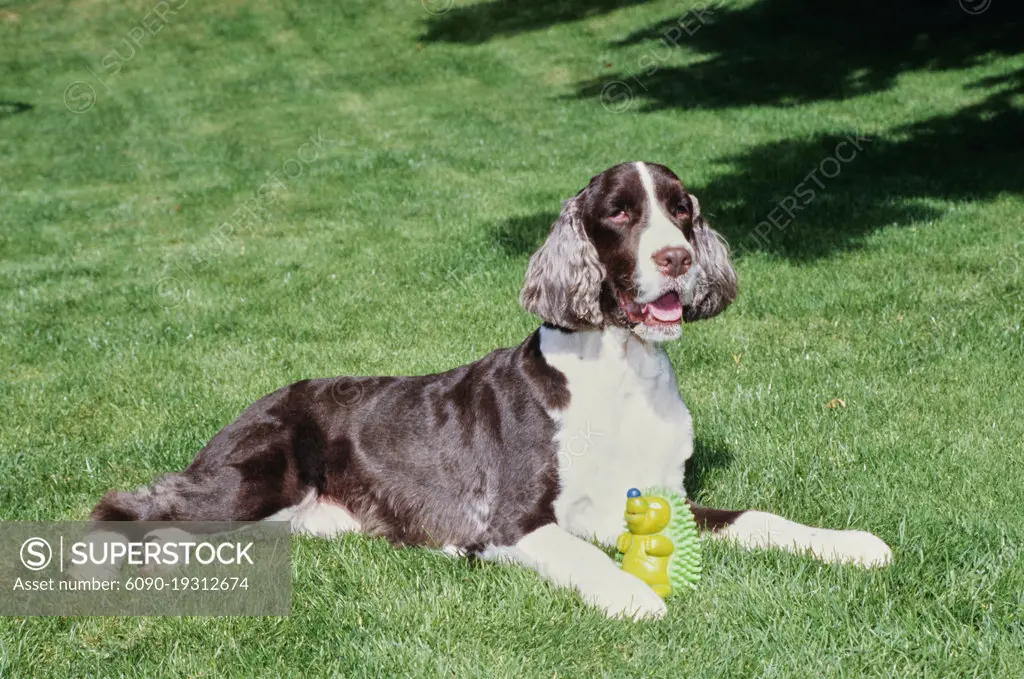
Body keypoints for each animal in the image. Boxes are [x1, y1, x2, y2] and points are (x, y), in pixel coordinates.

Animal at [86, 161, 888, 618]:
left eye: (682, 207)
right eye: (619, 212)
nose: (677, 257)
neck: (624, 372)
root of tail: (254, 403)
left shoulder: (662, 499)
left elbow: (760, 517)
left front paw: (852, 543)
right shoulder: (517, 520)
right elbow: (587, 558)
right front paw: (635, 595)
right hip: (252, 475)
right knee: (136, 505)